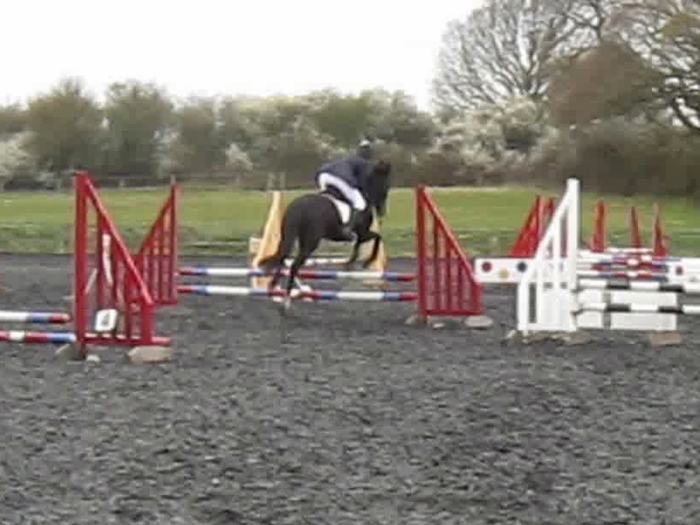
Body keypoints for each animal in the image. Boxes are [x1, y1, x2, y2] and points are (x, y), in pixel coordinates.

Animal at [258, 160, 392, 305]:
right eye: (385, 185)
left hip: (293, 236)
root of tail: (298, 207)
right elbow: (377, 237)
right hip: (311, 242)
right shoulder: (362, 232)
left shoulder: (357, 234)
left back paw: (274, 287)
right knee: (294, 265)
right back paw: (286, 301)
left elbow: (362, 243)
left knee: (282, 257)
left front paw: (351, 263)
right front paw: (366, 261)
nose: (382, 212)